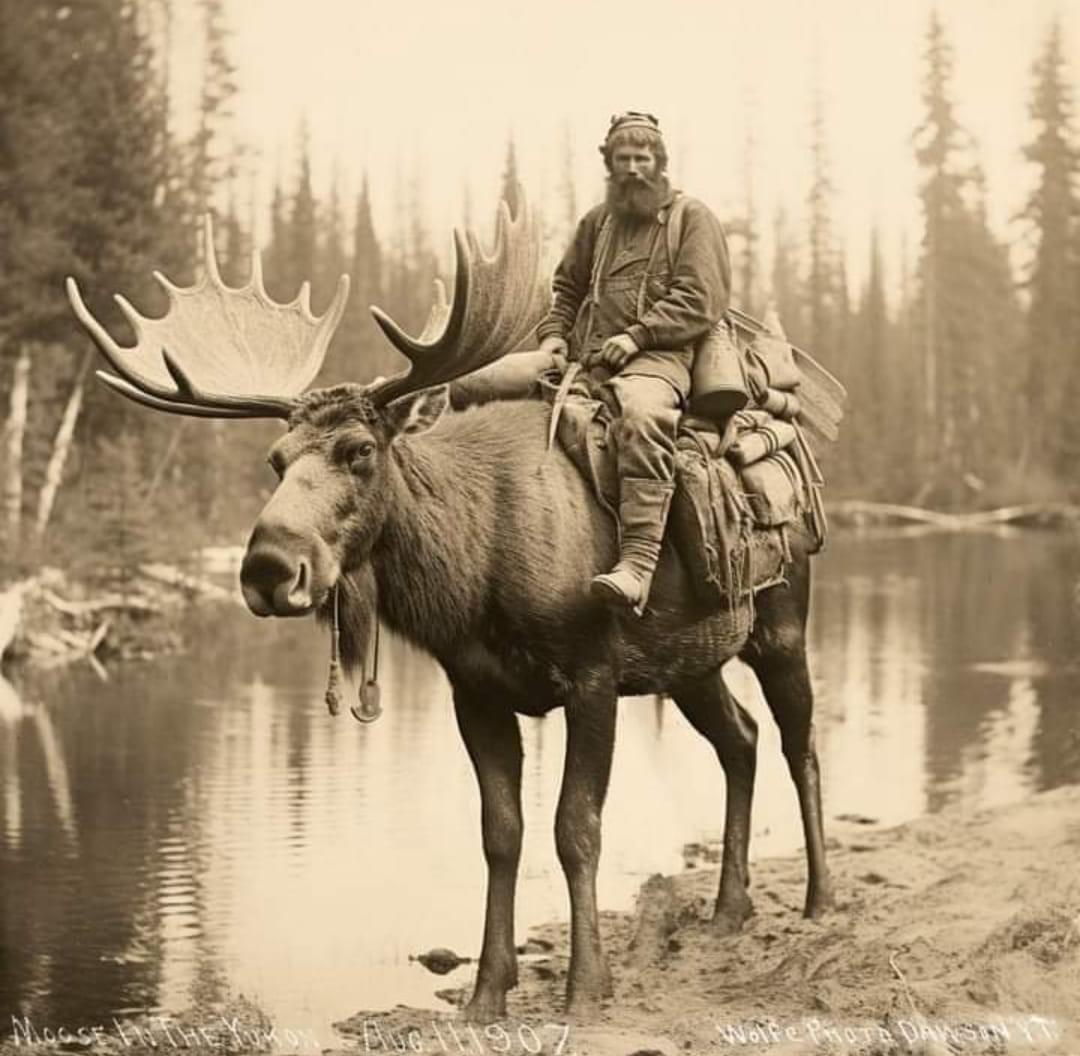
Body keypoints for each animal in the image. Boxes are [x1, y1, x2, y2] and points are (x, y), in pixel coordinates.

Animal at [69, 199, 833, 1019]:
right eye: (275, 462)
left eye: (360, 451)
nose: (269, 568)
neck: (475, 573)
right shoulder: (475, 690)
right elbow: (501, 834)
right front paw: (488, 991)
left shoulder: (593, 674)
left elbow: (576, 828)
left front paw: (585, 985)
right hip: (689, 661)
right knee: (741, 740)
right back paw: (729, 908)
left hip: (780, 626)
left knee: (799, 742)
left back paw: (819, 898)